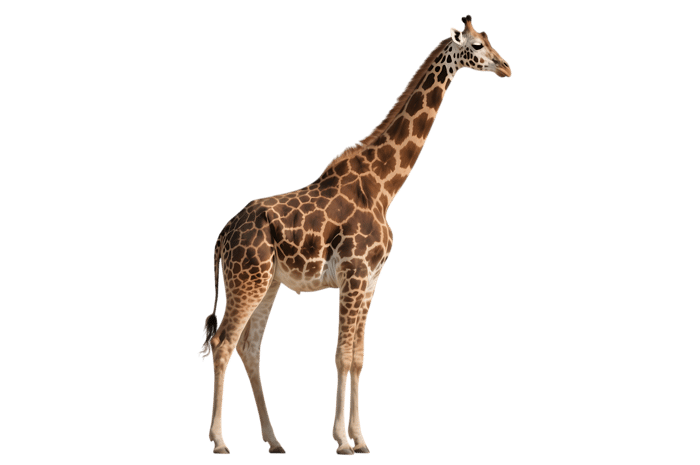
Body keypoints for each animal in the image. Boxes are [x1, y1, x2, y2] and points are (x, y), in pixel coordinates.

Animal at [198, 14, 511, 456]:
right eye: (477, 46)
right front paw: (342, 441)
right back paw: (219, 441)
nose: (506, 67)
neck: (384, 186)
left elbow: (359, 357)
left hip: (268, 283)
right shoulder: (355, 275)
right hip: (247, 281)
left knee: (249, 347)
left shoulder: (372, 280)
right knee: (224, 345)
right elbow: (342, 355)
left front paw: (361, 439)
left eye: (488, 39)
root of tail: (222, 235)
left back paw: (274, 441)